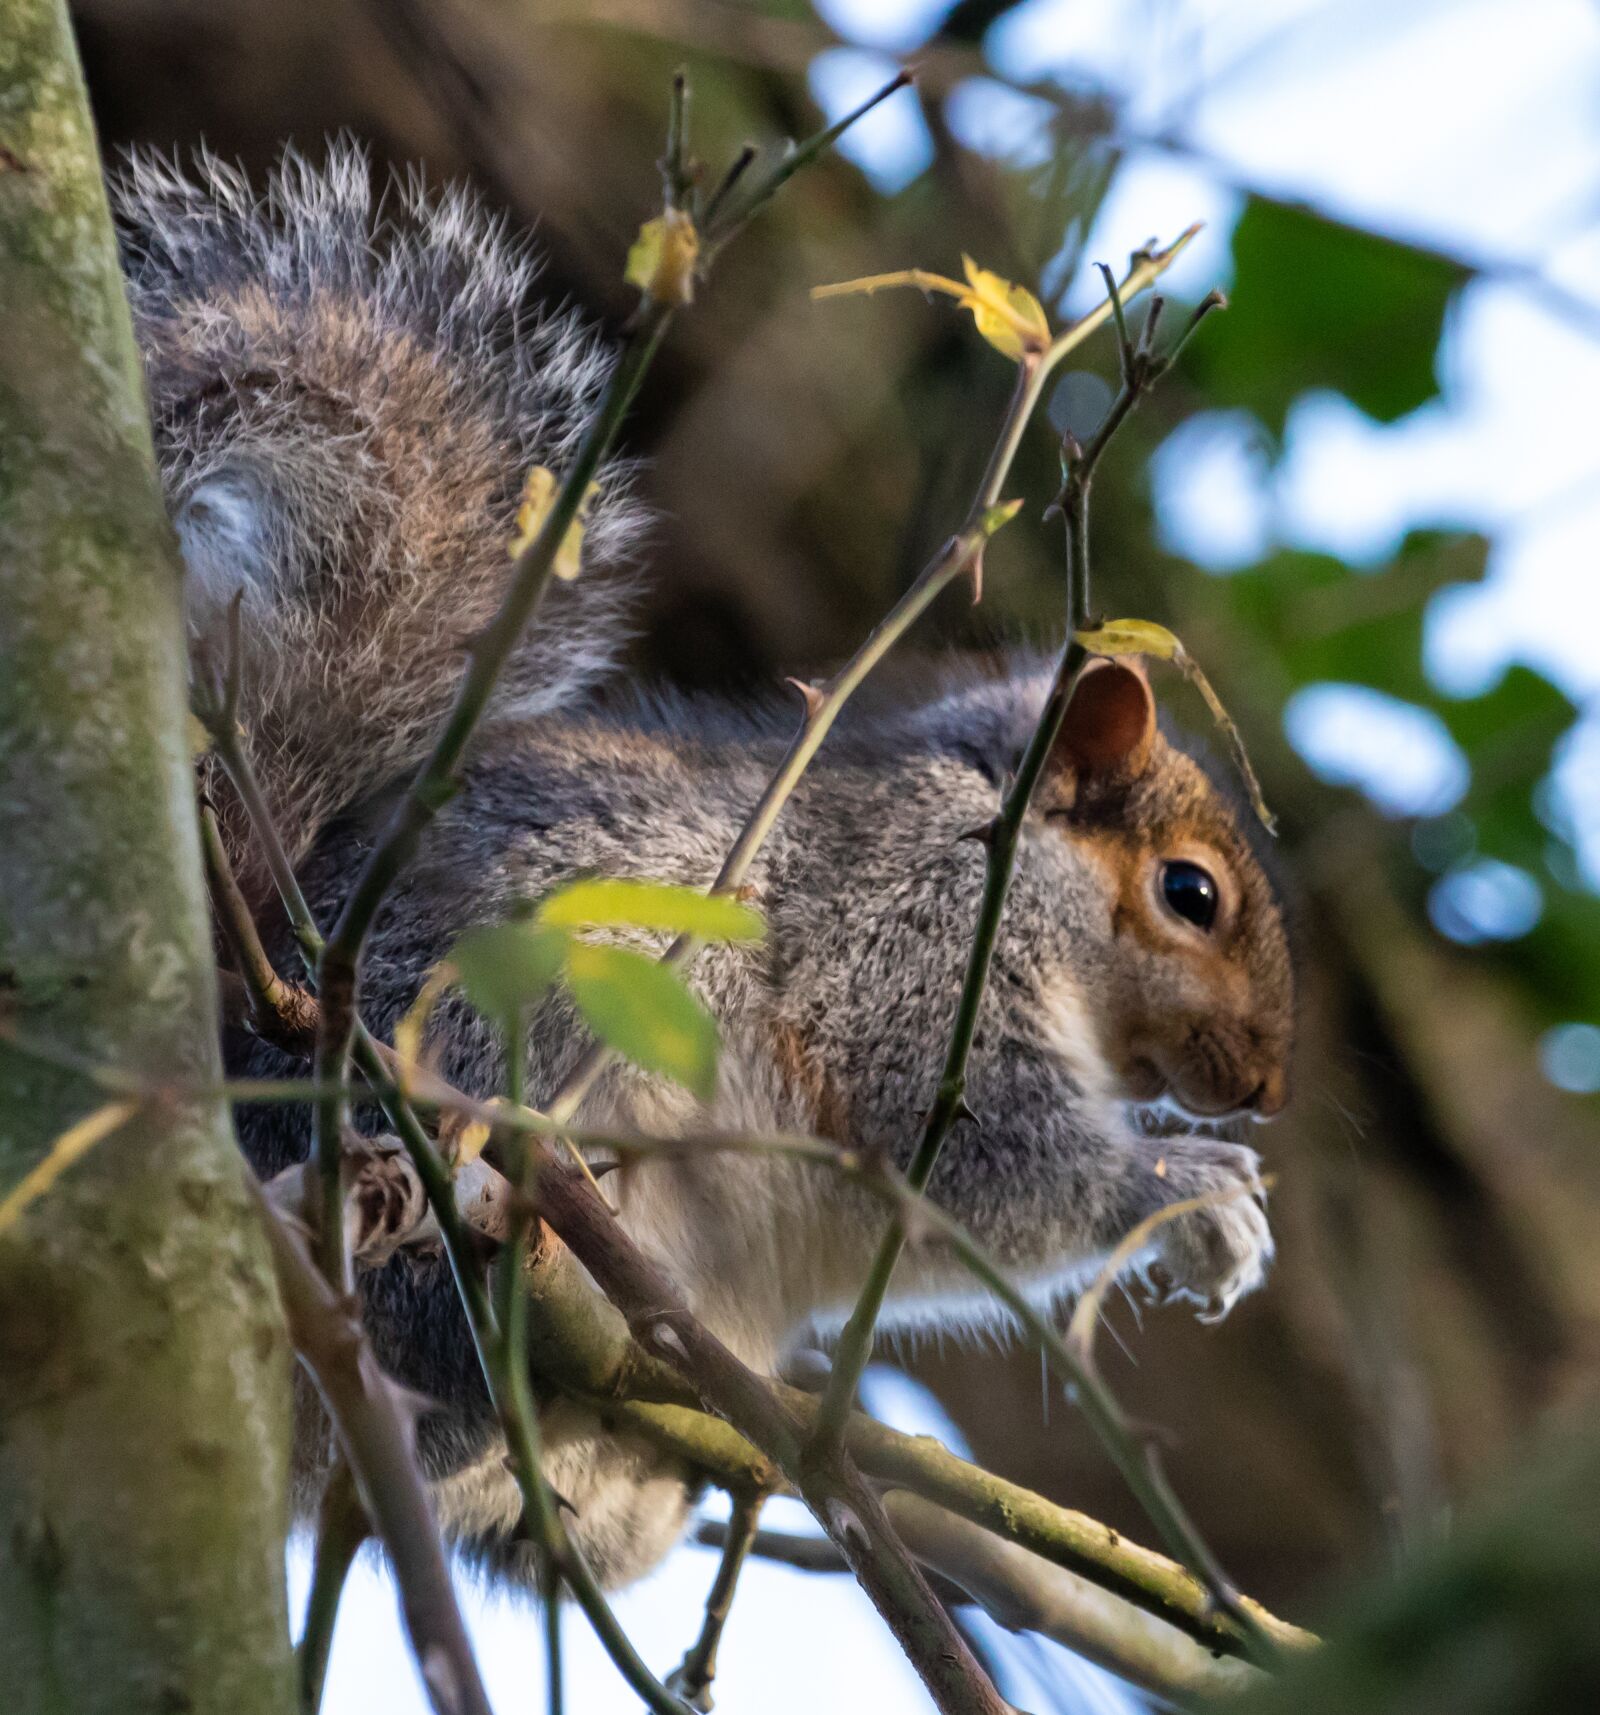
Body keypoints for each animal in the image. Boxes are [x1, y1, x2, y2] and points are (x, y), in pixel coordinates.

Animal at [117, 145, 1294, 1591]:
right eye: (1192, 893)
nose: (1264, 1086)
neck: (1002, 843)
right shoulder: (911, 940)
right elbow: (977, 1154)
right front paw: (1186, 1185)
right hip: (480, 1044)